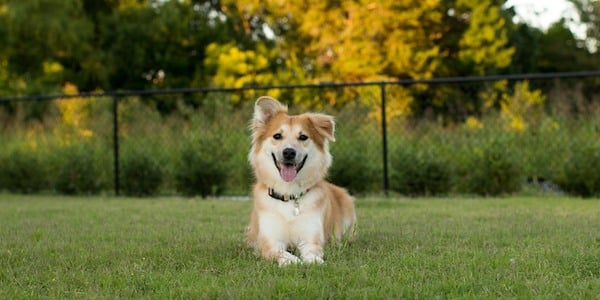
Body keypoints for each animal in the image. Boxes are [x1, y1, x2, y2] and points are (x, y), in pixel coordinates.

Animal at [245, 96, 356, 264]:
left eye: (303, 137)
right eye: (277, 136)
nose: (289, 152)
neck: (289, 194)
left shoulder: (311, 237)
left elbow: (312, 252)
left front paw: (314, 262)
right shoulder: (269, 242)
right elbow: (281, 253)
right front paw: (293, 261)